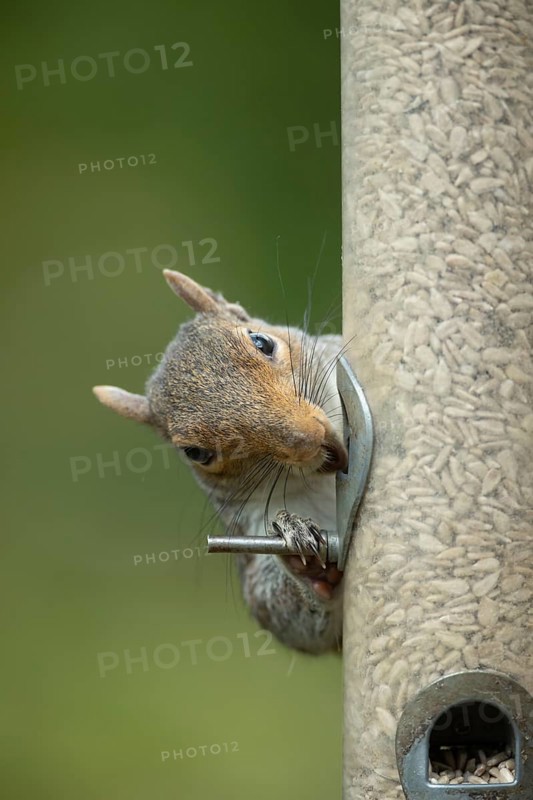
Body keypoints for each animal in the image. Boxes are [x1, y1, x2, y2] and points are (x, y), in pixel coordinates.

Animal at [93, 270, 348, 654]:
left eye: (261, 342)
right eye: (196, 453)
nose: (307, 438)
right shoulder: (249, 525)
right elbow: (294, 624)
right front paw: (300, 549)